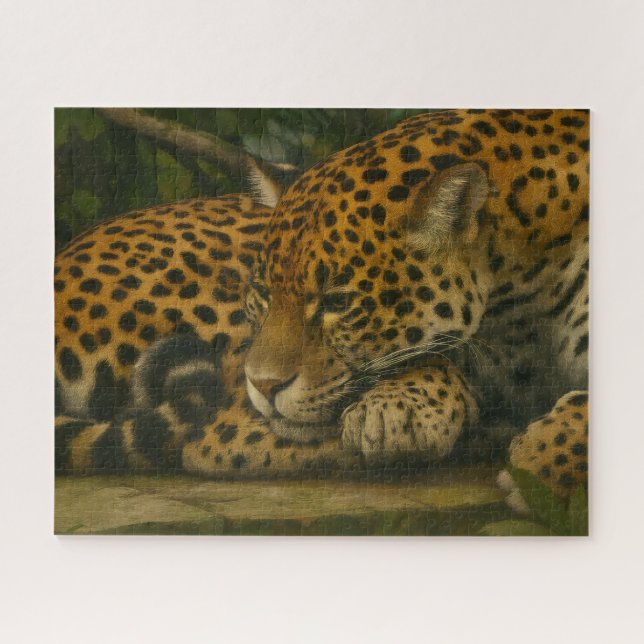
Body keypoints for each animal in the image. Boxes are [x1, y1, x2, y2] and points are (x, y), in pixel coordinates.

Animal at [55, 109, 589, 502]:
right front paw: (399, 411)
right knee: (222, 436)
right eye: (263, 293)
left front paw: (542, 461)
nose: (263, 385)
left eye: (337, 301)